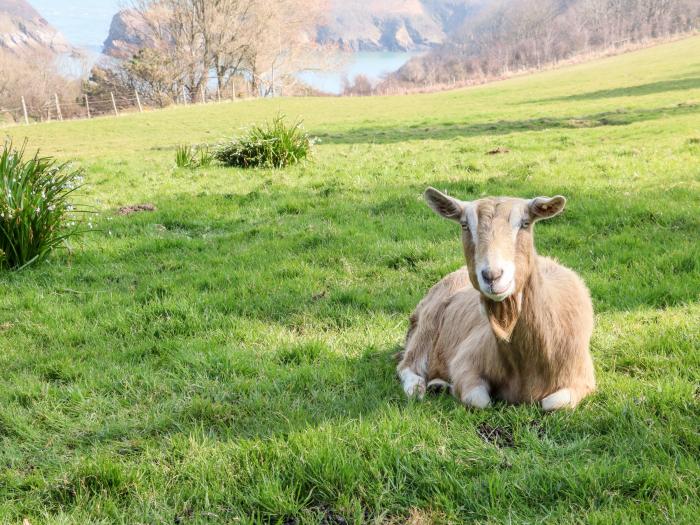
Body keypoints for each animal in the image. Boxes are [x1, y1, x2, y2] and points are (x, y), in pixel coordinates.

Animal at [400, 187, 596, 410]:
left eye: (525, 223)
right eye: (465, 225)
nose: (492, 275)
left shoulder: (583, 378)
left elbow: (553, 403)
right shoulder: (465, 361)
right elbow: (480, 400)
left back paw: (438, 384)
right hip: (427, 325)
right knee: (407, 366)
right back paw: (421, 388)